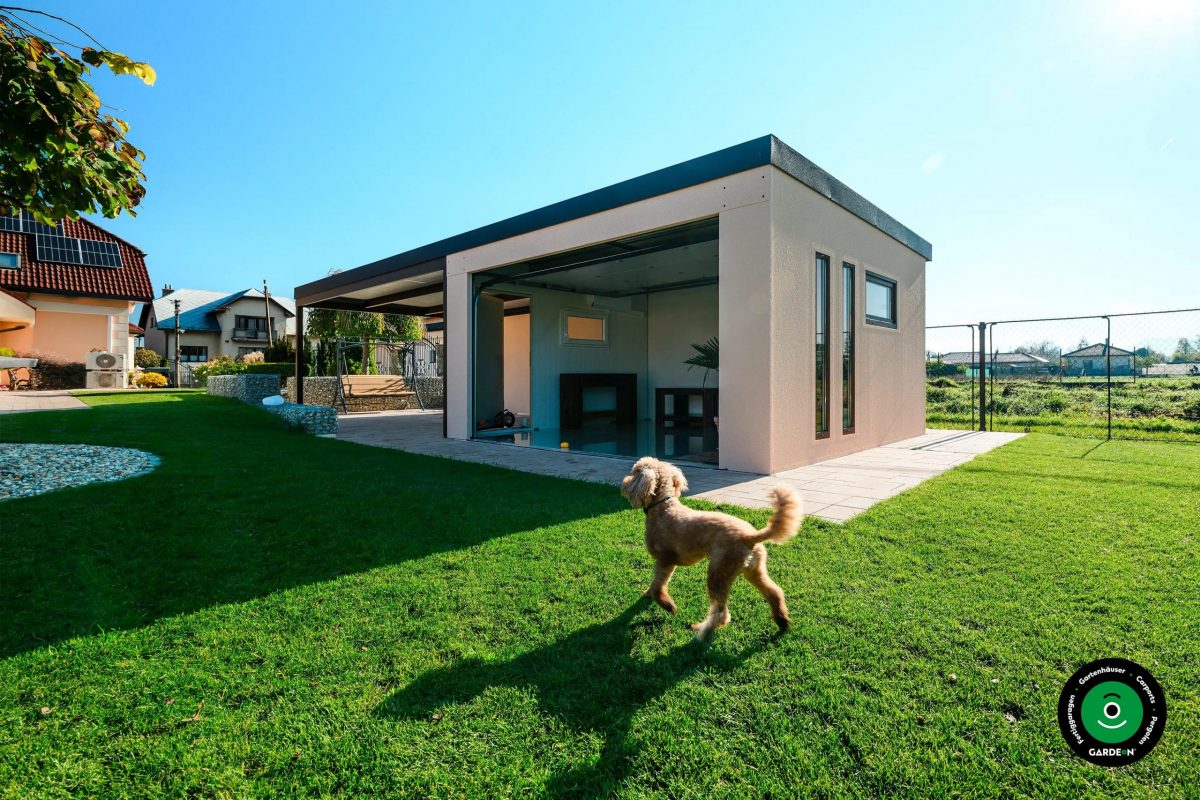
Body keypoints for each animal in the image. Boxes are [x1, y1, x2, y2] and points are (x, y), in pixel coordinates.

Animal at [620, 456, 802, 639]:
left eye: (635, 471)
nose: (625, 482)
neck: (663, 507)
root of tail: (750, 537)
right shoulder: (666, 561)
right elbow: (654, 585)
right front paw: (649, 593)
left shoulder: (665, 560)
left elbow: (658, 586)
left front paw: (667, 605)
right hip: (753, 570)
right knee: (774, 592)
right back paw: (782, 620)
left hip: (719, 572)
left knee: (721, 612)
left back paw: (702, 629)